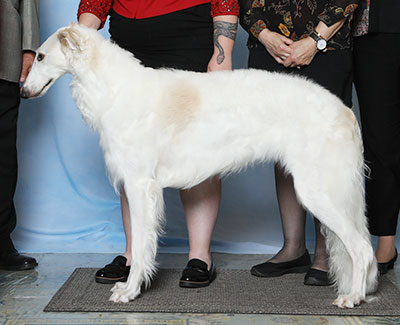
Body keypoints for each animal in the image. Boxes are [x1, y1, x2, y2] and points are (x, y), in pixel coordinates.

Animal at [21, 24, 378, 306]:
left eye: (40, 57)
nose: (23, 91)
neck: (116, 87)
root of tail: (344, 111)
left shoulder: (139, 184)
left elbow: (141, 243)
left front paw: (130, 290)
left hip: (319, 190)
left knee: (362, 248)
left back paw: (353, 297)